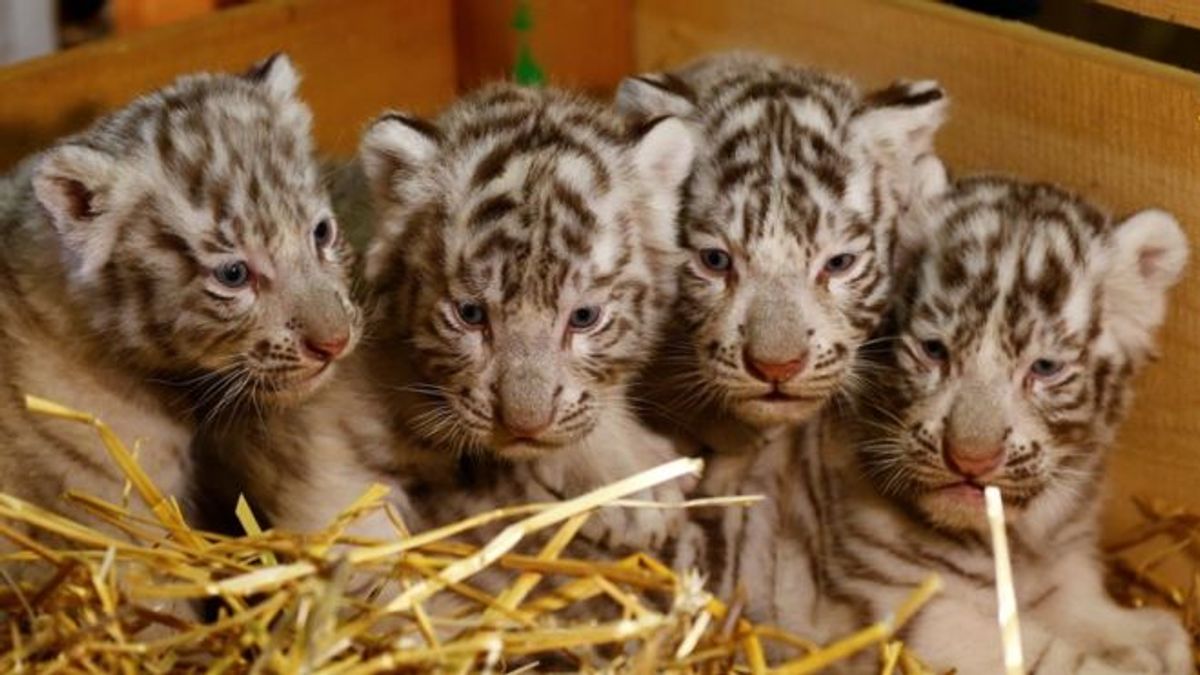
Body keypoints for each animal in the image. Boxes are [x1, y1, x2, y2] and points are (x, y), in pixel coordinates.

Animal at [817, 176, 1192, 673]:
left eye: (1045, 368)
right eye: (934, 350)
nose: (969, 459)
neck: (1018, 541)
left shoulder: (1062, 573)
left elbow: (1090, 613)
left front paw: (1156, 643)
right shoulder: (920, 611)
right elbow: (1053, 658)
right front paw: (1139, 659)